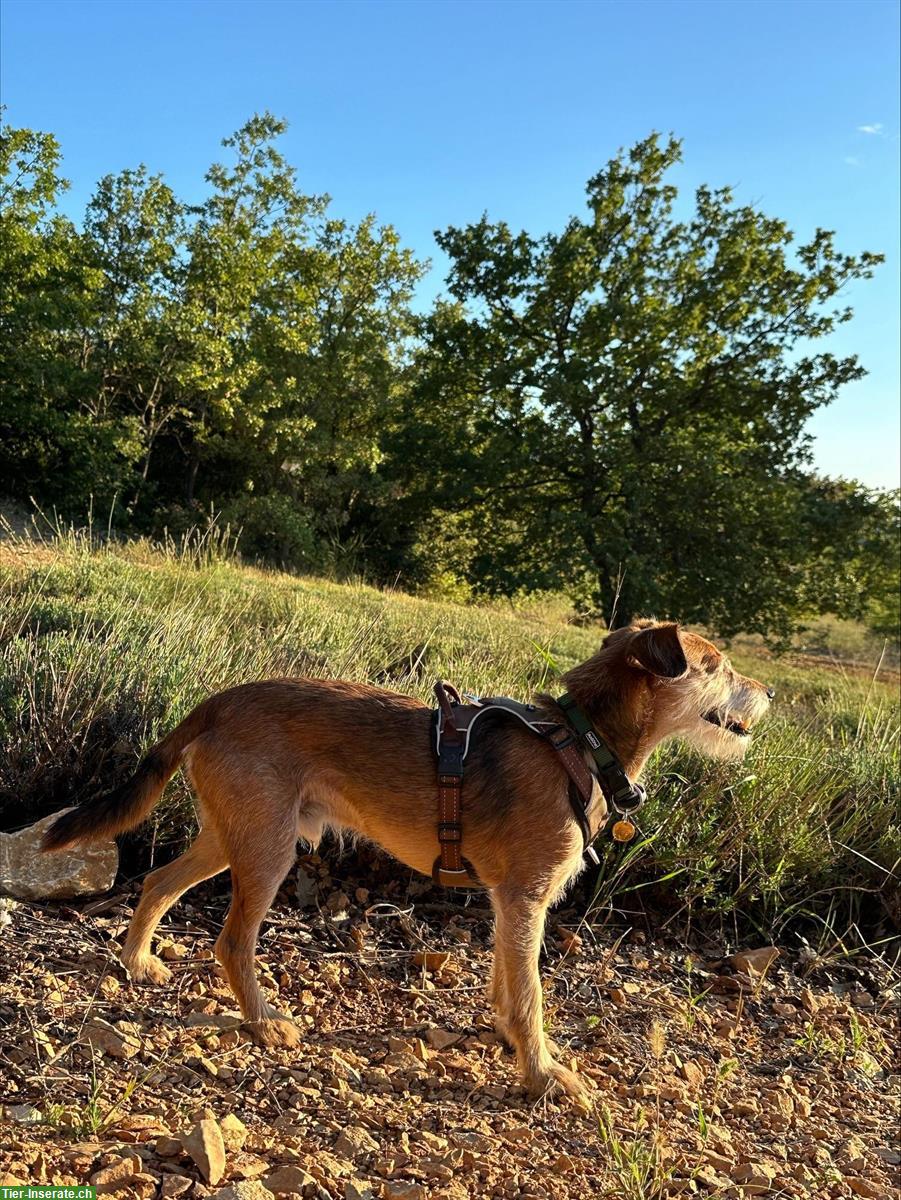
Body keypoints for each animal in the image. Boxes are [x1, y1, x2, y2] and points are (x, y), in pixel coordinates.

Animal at [44, 624, 777, 1099]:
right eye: (716, 666)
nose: (769, 692)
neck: (580, 740)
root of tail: (218, 700)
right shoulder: (526, 896)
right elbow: (531, 997)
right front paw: (542, 1074)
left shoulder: (509, 902)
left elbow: (507, 985)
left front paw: (509, 1041)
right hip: (266, 849)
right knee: (229, 941)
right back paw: (263, 1022)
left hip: (234, 837)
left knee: (158, 879)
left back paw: (138, 961)